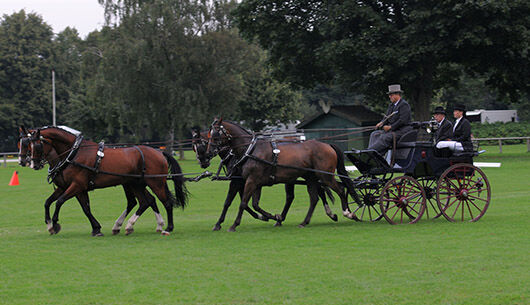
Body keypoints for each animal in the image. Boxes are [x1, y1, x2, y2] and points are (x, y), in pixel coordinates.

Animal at [22, 125, 188, 235]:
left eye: (36, 145)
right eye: (26, 145)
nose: (33, 164)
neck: (74, 154)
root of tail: (159, 152)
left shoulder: (77, 186)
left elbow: (60, 202)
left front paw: (55, 224)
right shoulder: (70, 187)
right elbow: (55, 203)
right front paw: (95, 228)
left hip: (155, 183)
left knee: (165, 202)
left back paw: (167, 228)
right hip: (135, 184)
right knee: (145, 201)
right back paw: (130, 225)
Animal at [204, 119, 356, 230]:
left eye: (215, 135)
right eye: (208, 136)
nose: (208, 153)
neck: (250, 149)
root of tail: (327, 145)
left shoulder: (251, 181)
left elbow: (243, 203)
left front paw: (234, 225)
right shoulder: (253, 182)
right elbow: (253, 204)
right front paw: (274, 216)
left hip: (325, 176)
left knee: (340, 189)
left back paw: (347, 212)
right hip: (311, 178)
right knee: (314, 198)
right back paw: (304, 222)